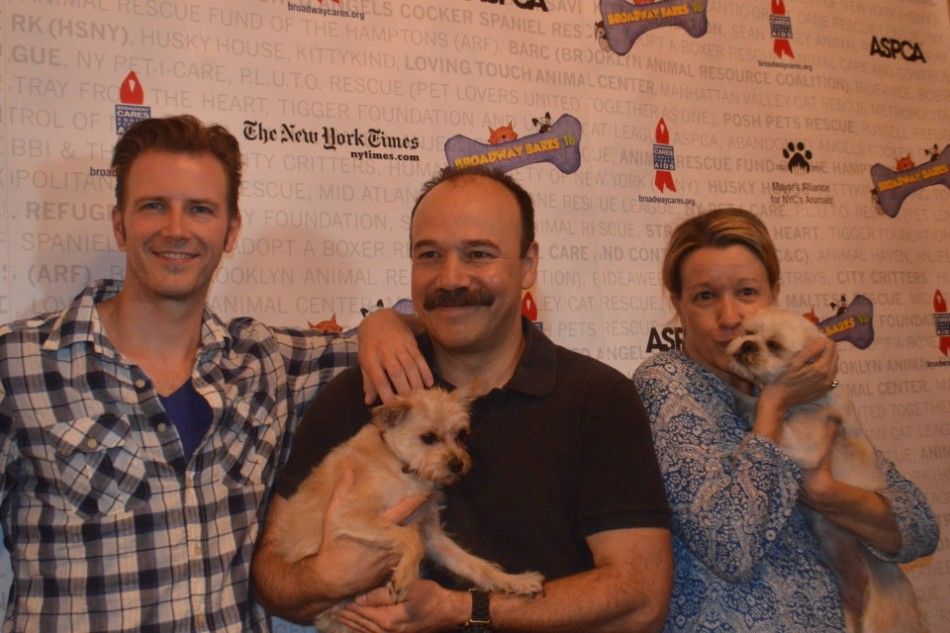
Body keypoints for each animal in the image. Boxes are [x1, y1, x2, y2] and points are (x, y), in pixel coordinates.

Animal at [269, 386, 544, 632]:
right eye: (428, 438)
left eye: (461, 434)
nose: (458, 465)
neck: (399, 464)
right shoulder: (347, 514)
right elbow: (410, 537)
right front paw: (404, 576)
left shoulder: (433, 536)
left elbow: (475, 564)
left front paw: (515, 581)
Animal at [726, 308, 924, 633]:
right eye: (746, 332)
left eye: (775, 346)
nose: (747, 345)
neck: (807, 401)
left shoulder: (805, 443)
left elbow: (767, 412)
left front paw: (744, 401)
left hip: (880, 619)